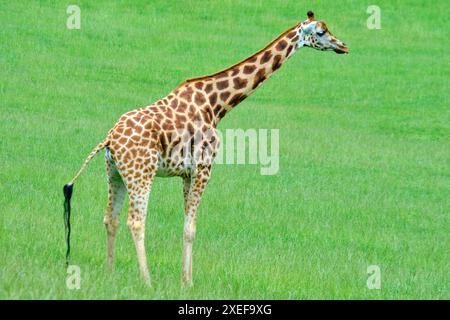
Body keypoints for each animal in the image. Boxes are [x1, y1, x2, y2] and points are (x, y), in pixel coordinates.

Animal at [62, 11, 348, 288]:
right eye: (321, 32)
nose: (343, 46)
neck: (217, 104)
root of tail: (109, 138)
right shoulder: (204, 167)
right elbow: (191, 228)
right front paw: (188, 282)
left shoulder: (187, 173)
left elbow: (185, 226)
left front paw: (184, 280)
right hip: (141, 174)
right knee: (136, 221)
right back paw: (146, 280)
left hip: (114, 173)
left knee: (111, 218)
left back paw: (109, 273)